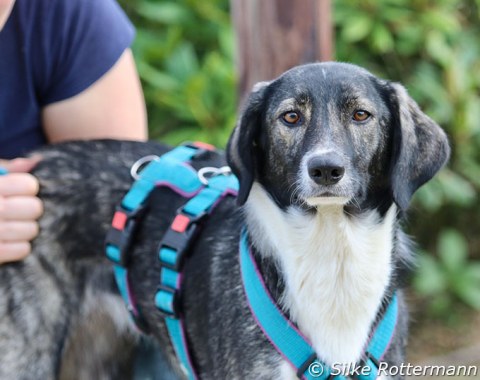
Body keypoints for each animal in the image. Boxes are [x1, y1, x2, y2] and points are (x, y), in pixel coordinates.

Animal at [0, 61, 450, 378]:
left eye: (361, 115)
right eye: (290, 117)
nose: (325, 169)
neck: (331, 252)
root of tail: (30, 164)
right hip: (26, 354)